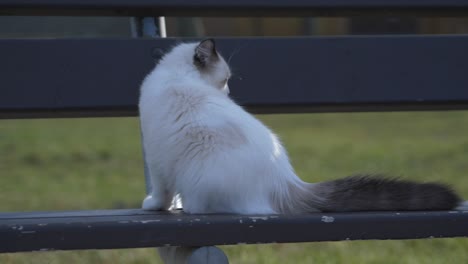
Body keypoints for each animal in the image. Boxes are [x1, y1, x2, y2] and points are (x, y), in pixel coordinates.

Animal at [138, 38, 460, 213]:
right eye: (226, 80)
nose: (228, 93)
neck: (176, 75)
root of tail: (287, 182)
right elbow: (166, 193)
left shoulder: (156, 161)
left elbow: (162, 193)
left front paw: (155, 205)